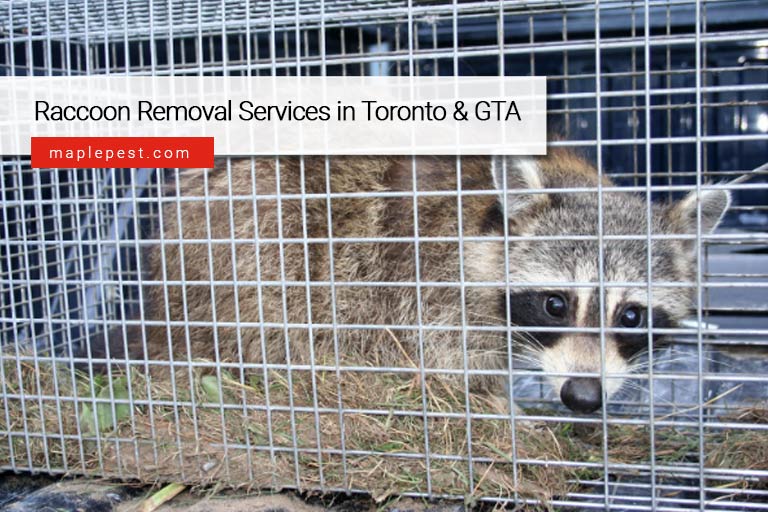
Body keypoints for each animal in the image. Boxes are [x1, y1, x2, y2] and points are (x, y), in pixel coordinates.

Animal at [136, 149, 729, 414]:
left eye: (631, 315)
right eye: (556, 305)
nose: (582, 397)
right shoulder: (433, 281)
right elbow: (446, 360)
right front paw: (503, 411)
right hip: (241, 239)